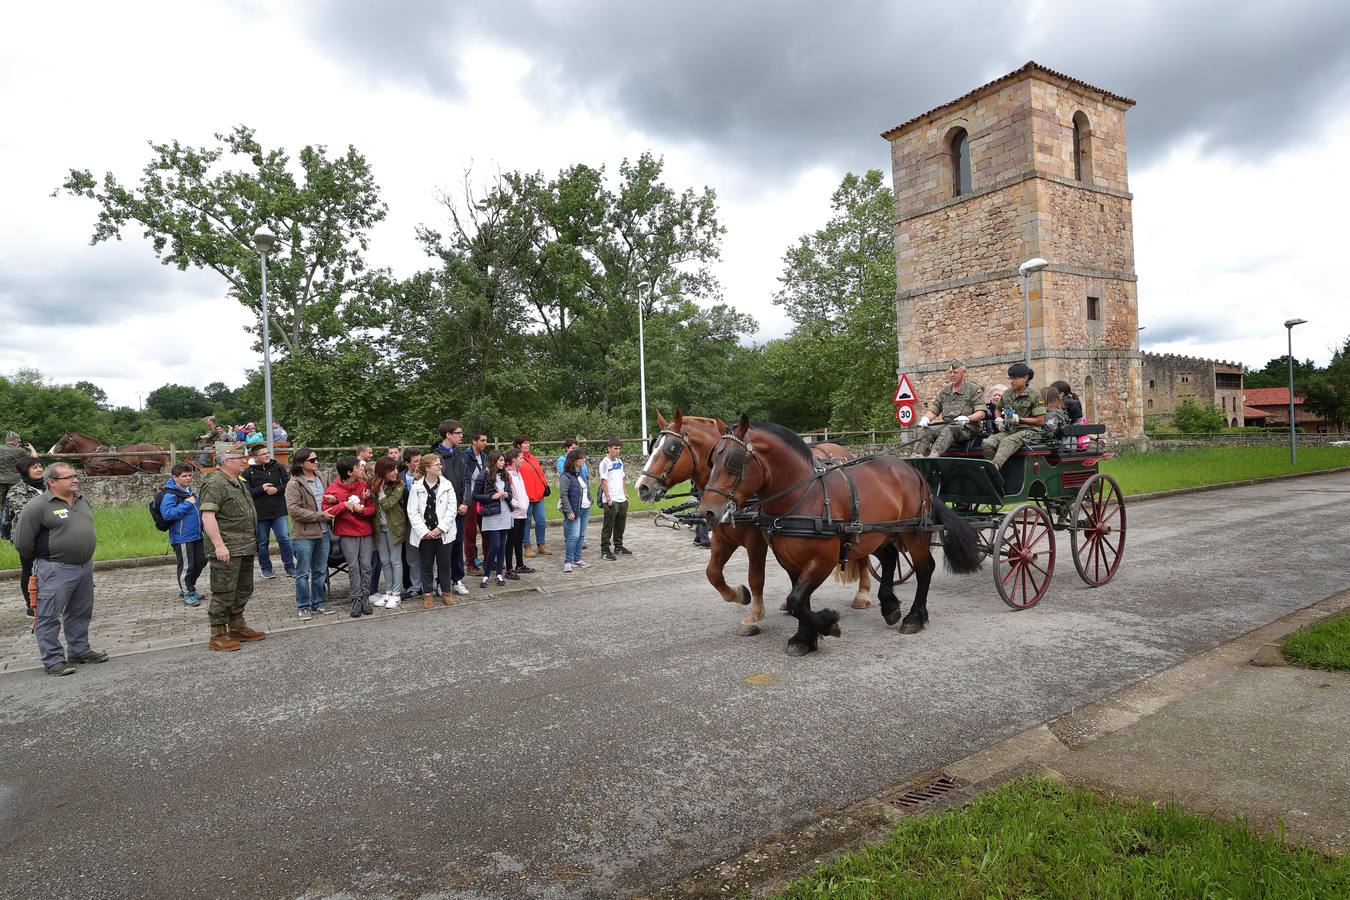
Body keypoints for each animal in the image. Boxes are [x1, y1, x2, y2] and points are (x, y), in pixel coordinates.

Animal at [634, 412, 869, 636]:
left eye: (671, 449)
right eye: (653, 446)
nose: (642, 487)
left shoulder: (756, 540)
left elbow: (755, 577)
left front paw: (753, 616)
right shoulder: (722, 537)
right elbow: (713, 573)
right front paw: (739, 594)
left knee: (863, 555)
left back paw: (863, 595)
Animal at [702, 412, 977, 655]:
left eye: (733, 460)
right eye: (711, 460)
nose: (708, 512)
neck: (803, 496)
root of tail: (913, 470)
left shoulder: (823, 560)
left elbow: (796, 601)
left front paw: (827, 623)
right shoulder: (790, 561)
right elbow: (798, 601)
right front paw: (804, 638)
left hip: (913, 533)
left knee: (924, 569)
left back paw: (914, 617)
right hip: (875, 534)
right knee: (889, 559)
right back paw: (889, 606)